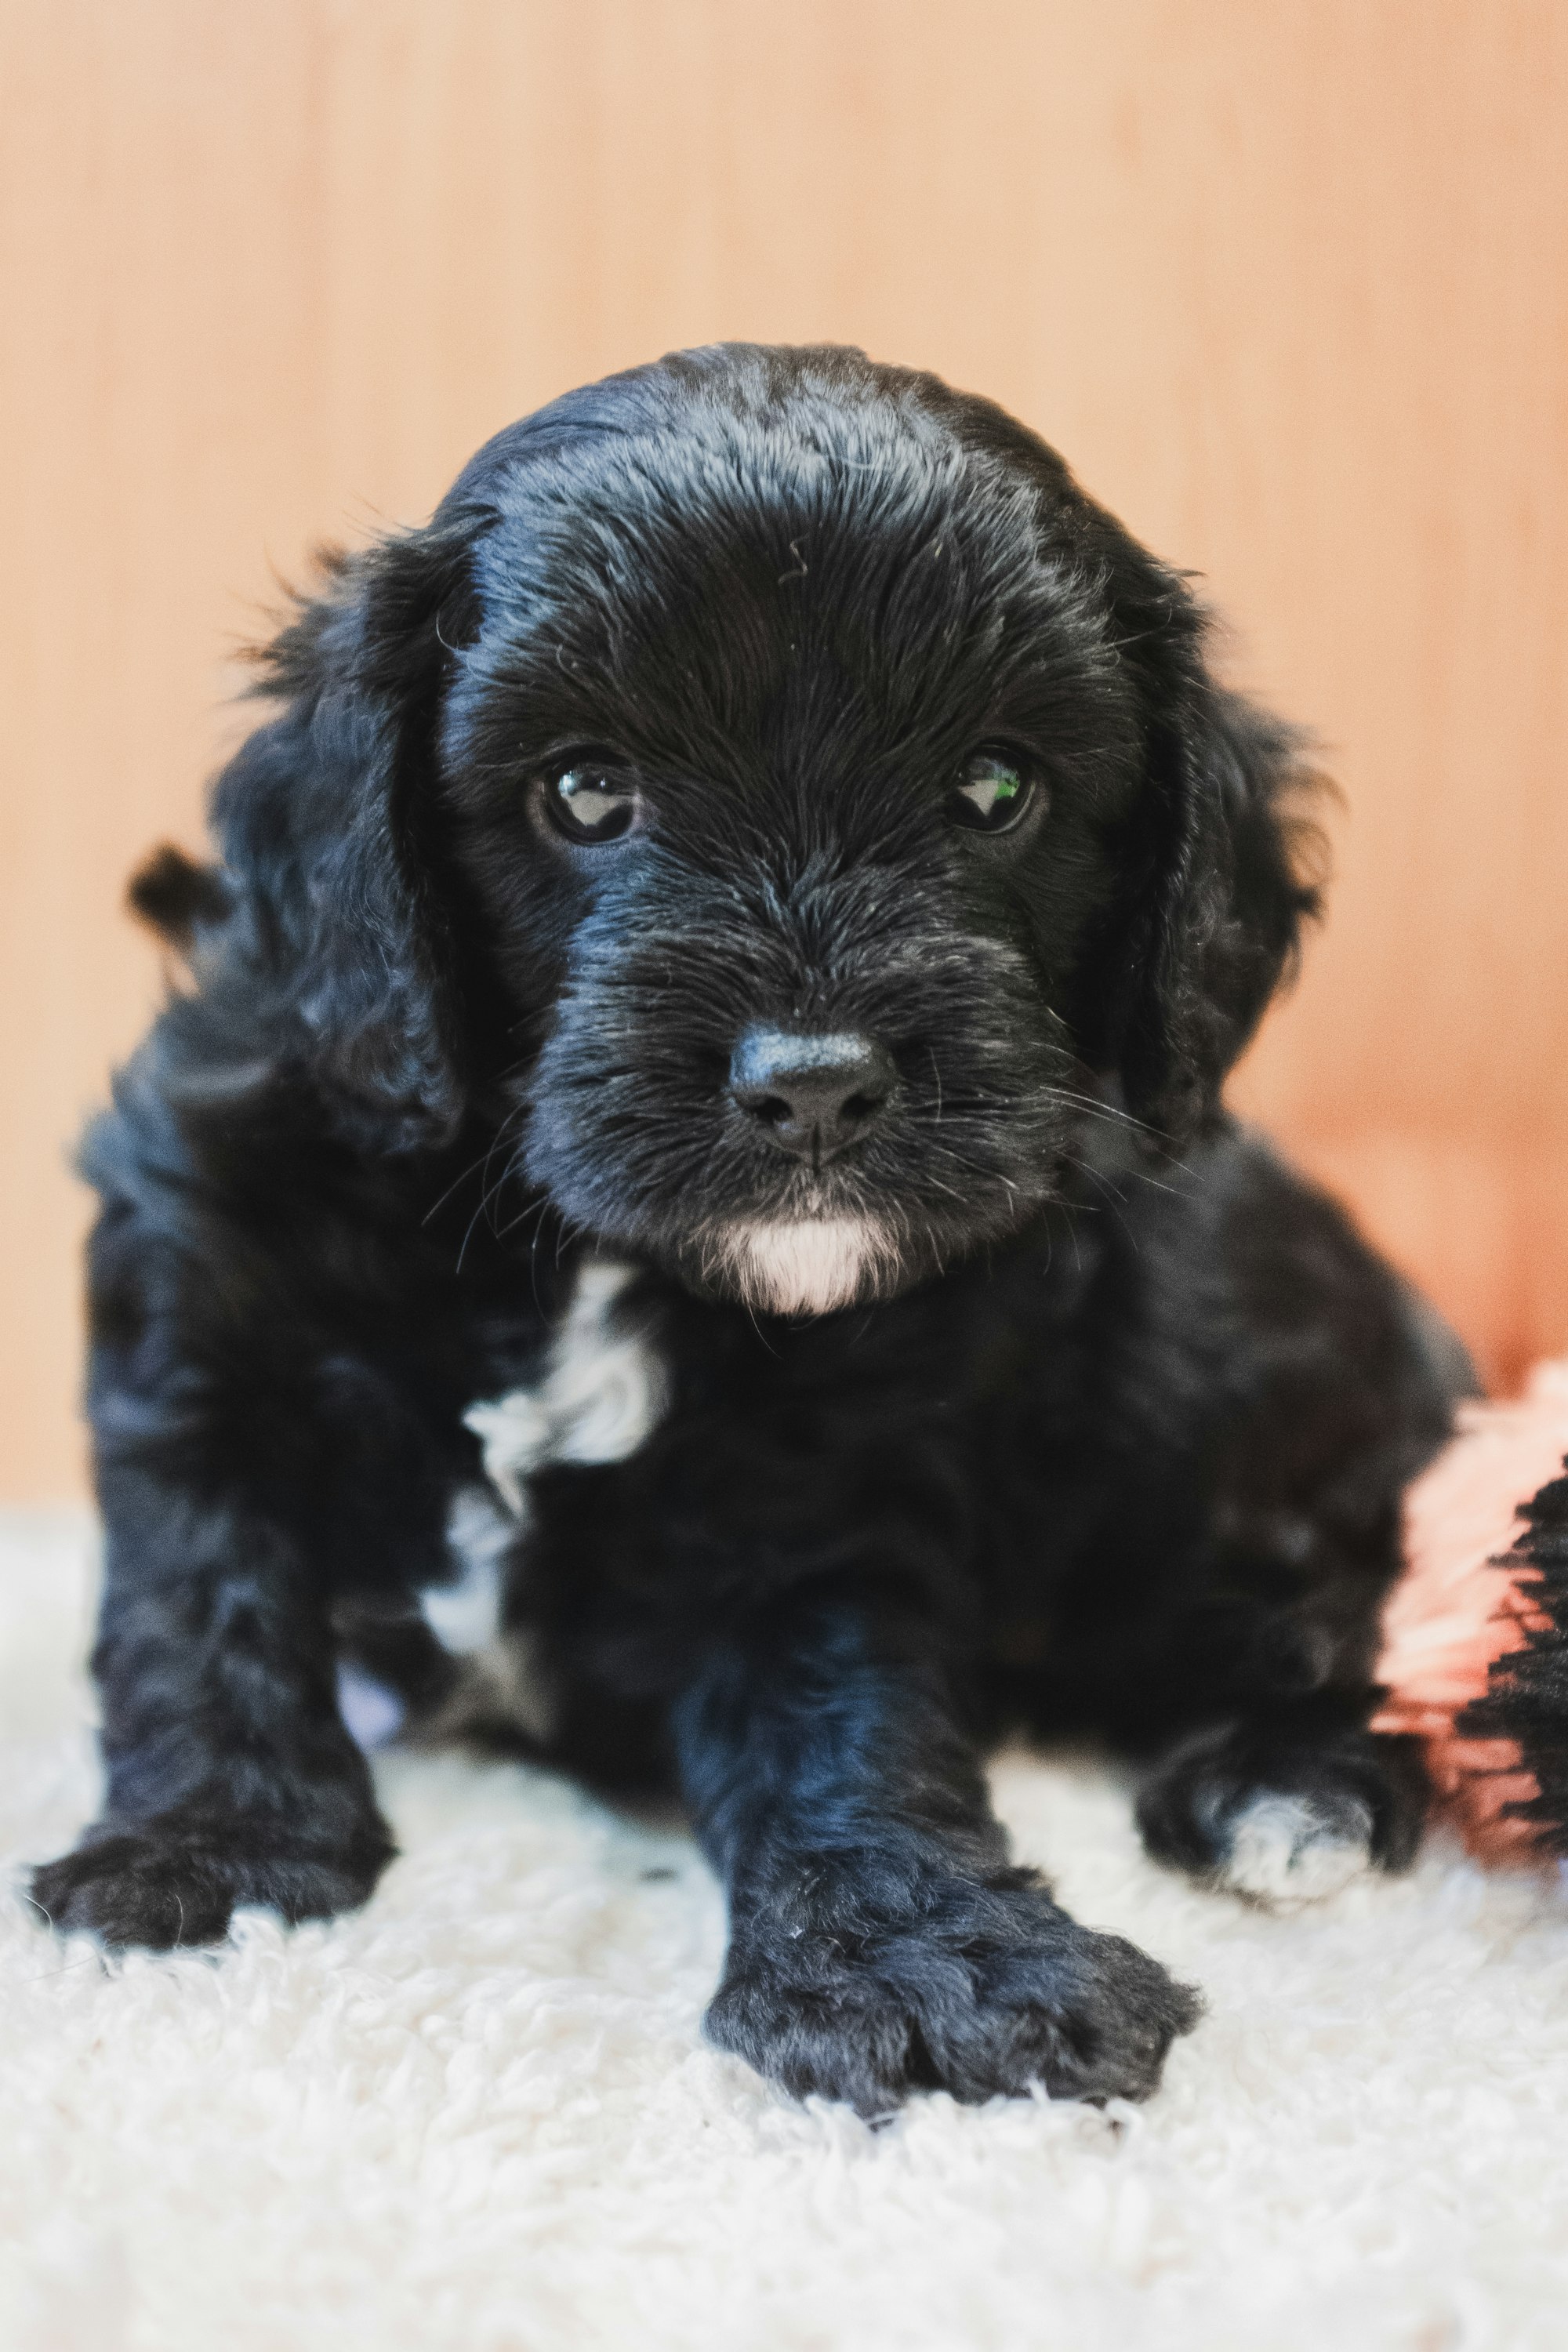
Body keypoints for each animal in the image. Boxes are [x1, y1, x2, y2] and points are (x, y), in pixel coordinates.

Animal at [34, 343, 1457, 2117]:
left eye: (997, 787)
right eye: (584, 792)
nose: (816, 1085)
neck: (575, 1250)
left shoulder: (833, 1484)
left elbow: (839, 1709)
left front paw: (919, 1963)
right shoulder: (208, 1285)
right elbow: (204, 1581)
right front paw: (210, 1855)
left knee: (1363, 1606)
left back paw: (1285, 1789)